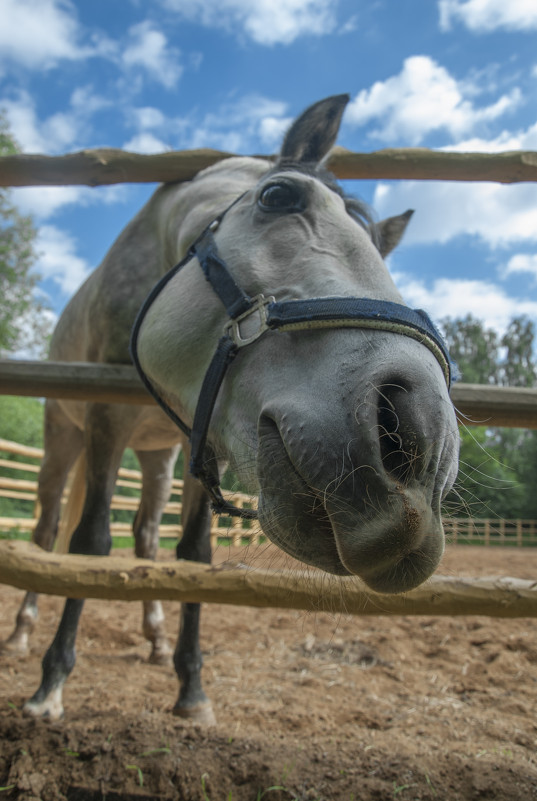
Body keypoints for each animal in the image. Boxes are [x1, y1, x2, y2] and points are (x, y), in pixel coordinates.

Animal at [2, 95, 458, 724]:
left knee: (145, 535)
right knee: (48, 532)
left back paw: (154, 636)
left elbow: (193, 555)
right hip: (62, 438)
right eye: (278, 197)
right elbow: (89, 545)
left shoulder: (204, 435)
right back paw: (24, 633)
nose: (416, 433)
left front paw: (191, 687)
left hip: (159, 457)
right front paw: (52, 683)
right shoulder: (105, 421)